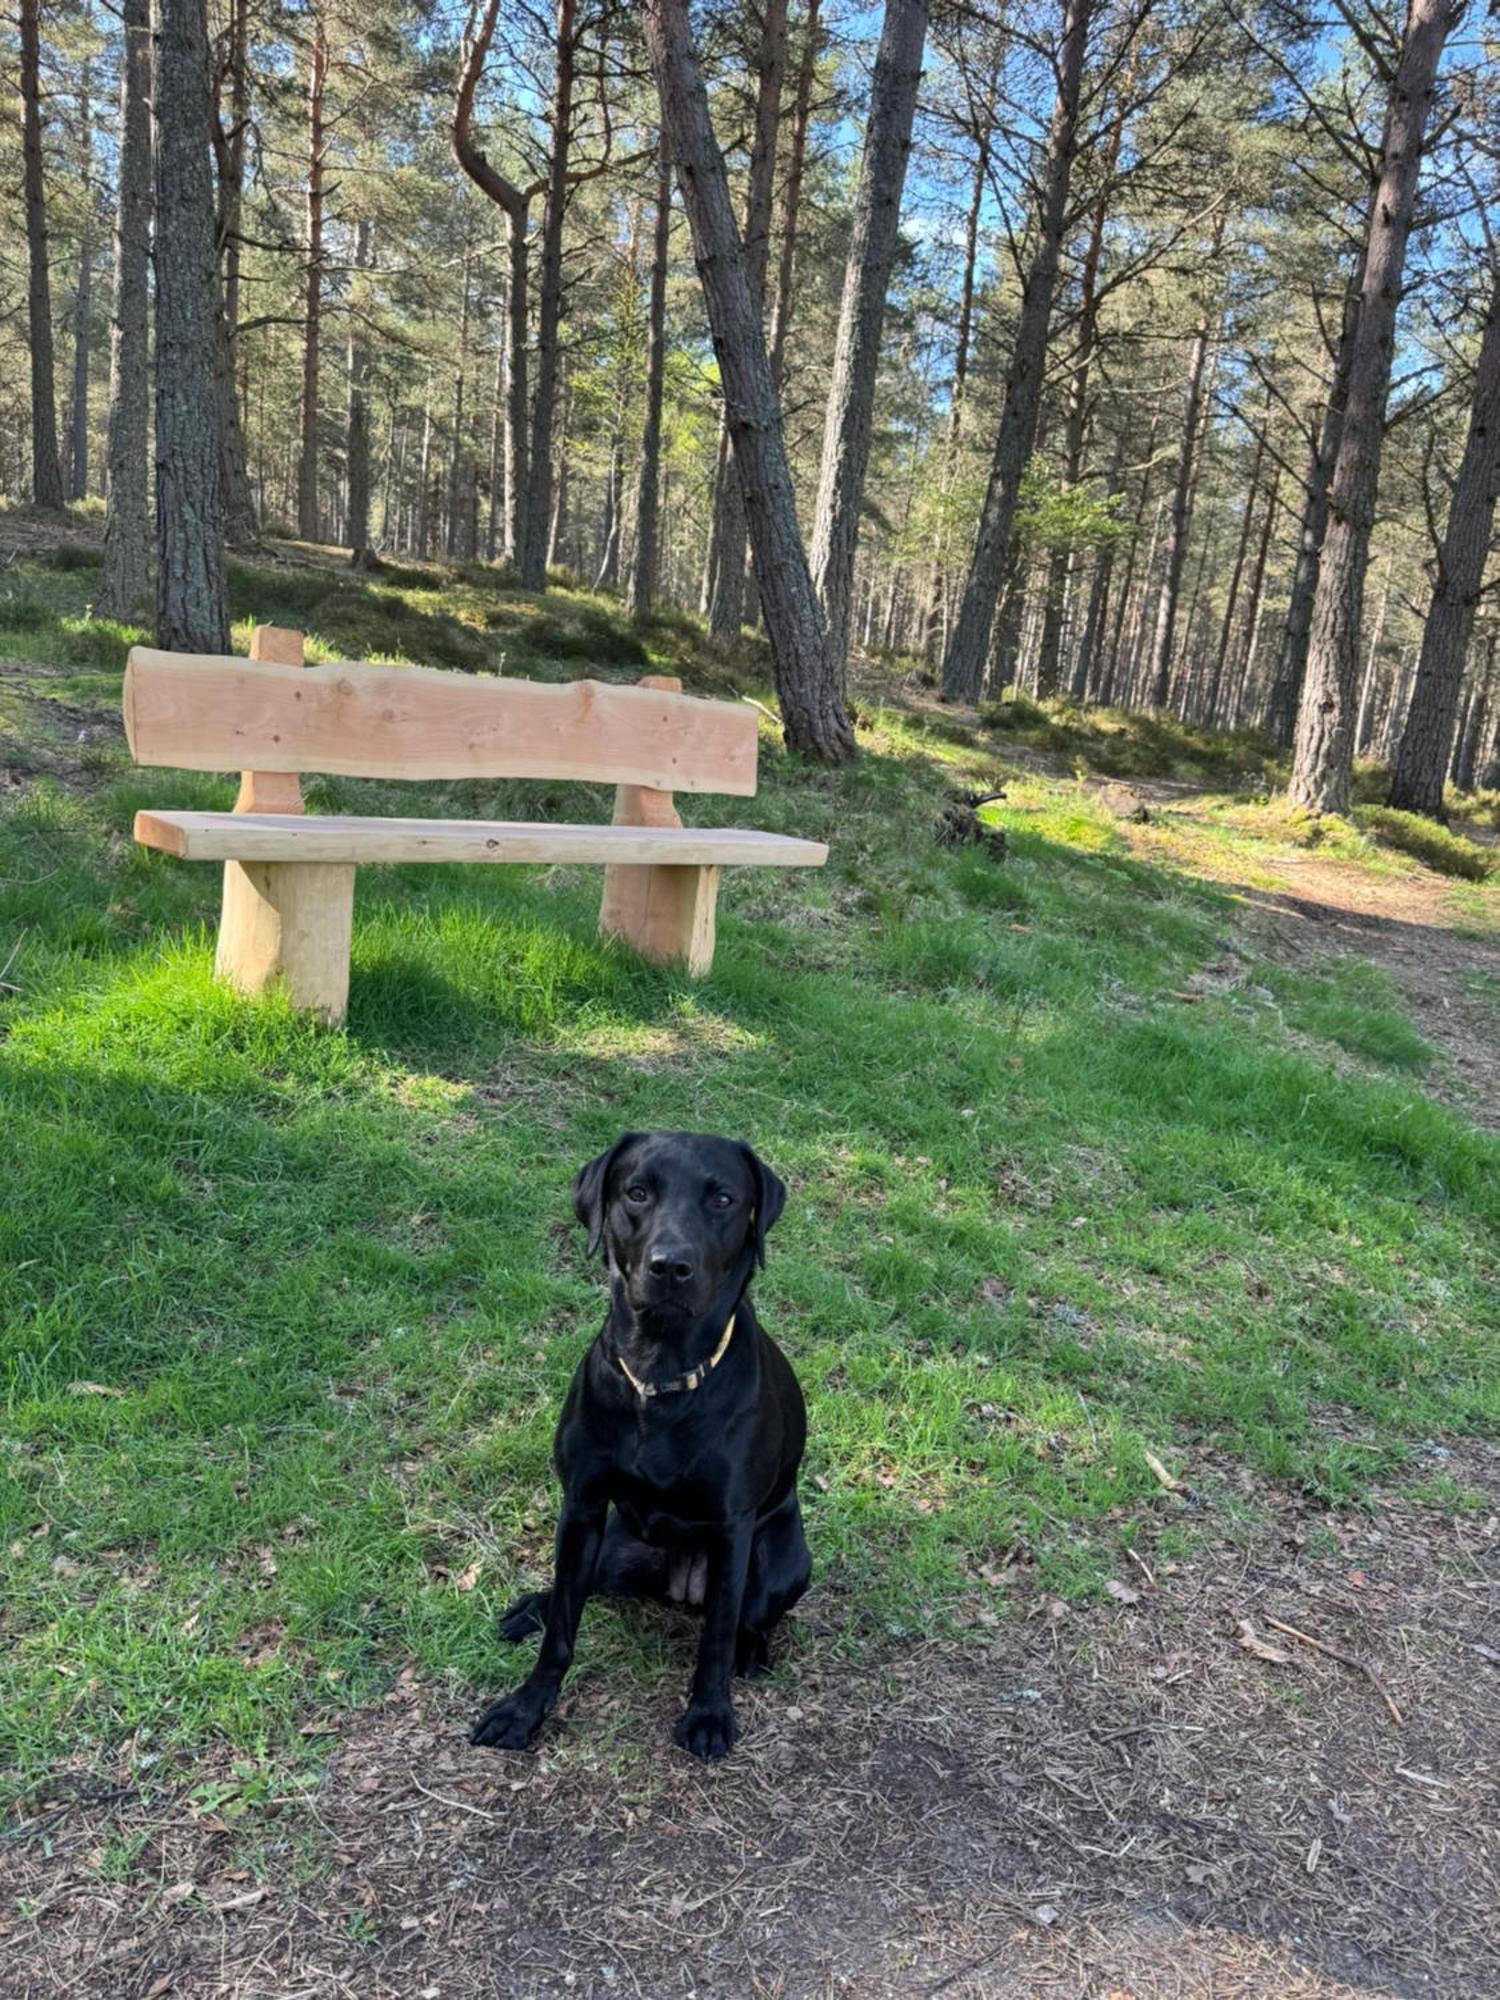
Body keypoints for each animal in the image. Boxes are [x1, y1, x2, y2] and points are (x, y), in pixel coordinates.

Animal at [476, 1136, 816, 1760]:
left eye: (723, 1198)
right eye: (636, 1192)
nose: (670, 1266)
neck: (660, 1373)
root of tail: (677, 1591)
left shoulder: (733, 1531)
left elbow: (715, 1640)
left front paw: (709, 1714)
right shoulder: (582, 1508)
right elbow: (563, 1628)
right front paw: (525, 1709)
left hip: (781, 1564)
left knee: (748, 1621)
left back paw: (752, 1653)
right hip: (615, 1547)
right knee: (584, 1587)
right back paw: (533, 1606)